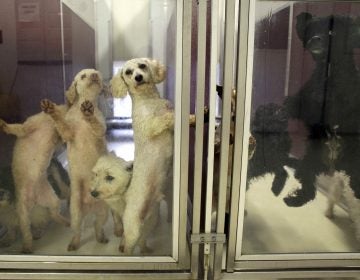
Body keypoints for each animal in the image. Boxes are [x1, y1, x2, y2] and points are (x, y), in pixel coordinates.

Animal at [0, 110, 69, 253]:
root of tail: (35, 199)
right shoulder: (26, 128)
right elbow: (14, 128)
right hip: (23, 214)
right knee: (27, 233)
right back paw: (27, 247)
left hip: (52, 200)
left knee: (53, 214)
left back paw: (65, 222)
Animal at [41, 68, 109, 252]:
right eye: (83, 76)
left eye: (97, 74)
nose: (95, 76)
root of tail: (90, 205)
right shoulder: (67, 133)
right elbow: (61, 123)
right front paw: (52, 110)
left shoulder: (99, 131)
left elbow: (95, 124)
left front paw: (89, 113)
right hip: (76, 214)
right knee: (78, 231)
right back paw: (74, 243)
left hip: (103, 211)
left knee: (98, 226)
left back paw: (101, 238)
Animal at [111, 57, 173, 254]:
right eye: (128, 72)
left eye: (143, 66)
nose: (138, 77)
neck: (149, 101)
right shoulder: (150, 126)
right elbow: (166, 117)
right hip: (132, 228)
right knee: (128, 246)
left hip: (149, 223)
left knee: (142, 240)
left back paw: (147, 251)